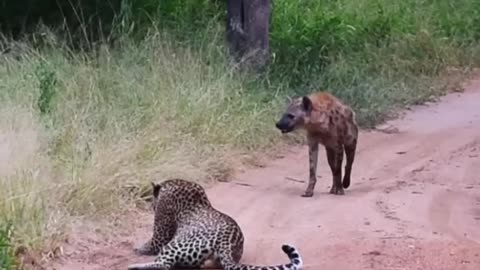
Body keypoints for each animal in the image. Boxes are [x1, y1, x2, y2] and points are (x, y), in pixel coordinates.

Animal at [125, 178, 302, 268]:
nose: (151, 206)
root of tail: (226, 243)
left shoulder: (161, 235)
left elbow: (151, 244)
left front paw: (137, 248)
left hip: (173, 245)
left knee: (163, 265)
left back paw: (134, 267)